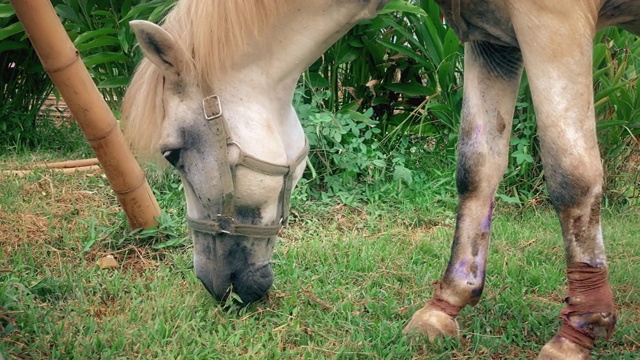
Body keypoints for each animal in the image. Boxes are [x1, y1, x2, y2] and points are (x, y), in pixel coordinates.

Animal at [121, 0, 640, 360]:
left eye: (172, 153)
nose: (210, 283)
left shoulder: (552, 21)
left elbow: (571, 174)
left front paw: (581, 330)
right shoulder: (495, 39)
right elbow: (476, 169)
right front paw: (447, 305)